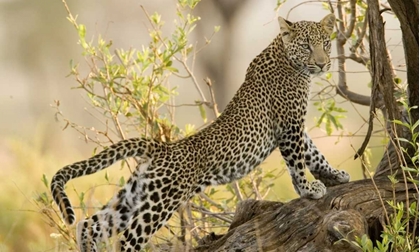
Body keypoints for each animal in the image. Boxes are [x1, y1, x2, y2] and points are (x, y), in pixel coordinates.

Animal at [50, 13, 352, 252]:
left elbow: (314, 154)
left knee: (89, 225)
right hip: (160, 202)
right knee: (128, 239)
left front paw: (335, 175)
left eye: (325, 44)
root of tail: (162, 148)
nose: (323, 64)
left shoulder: (295, 127)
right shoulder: (289, 126)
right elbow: (298, 162)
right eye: (307, 46)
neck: (285, 56)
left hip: (134, 196)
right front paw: (308, 189)